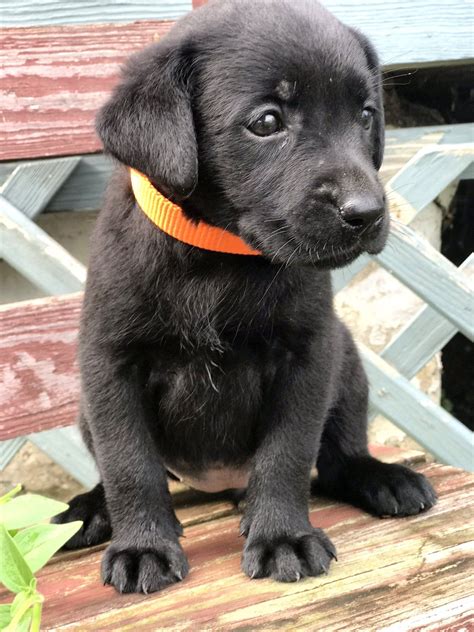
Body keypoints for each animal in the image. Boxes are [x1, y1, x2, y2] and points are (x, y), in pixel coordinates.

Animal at [53, 0, 436, 592]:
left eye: (366, 114)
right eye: (267, 123)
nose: (368, 212)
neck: (220, 256)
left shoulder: (308, 355)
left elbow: (288, 454)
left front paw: (282, 535)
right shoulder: (111, 363)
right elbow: (129, 464)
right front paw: (143, 546)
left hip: (347, 362)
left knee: (339, 456)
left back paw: (382, 478)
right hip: (84, 410)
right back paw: (92, 510)